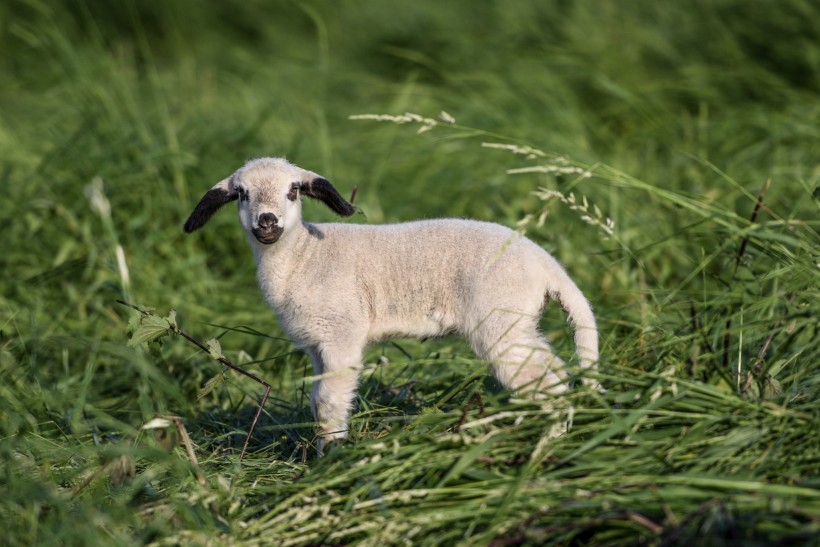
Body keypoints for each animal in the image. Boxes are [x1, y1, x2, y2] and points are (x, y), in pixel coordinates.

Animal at [183, 157, 600, 454]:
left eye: (293, 191)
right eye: (241, 194)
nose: (267, 223)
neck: (304, 257)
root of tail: (545, 264)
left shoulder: (341, 334)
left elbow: (331, 401)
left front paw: (332, 457)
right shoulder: (318, 343)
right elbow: (318, 401)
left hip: (499, 320)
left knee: (547, 381)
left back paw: (548, 444)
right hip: (516, 322)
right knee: (553, 372)